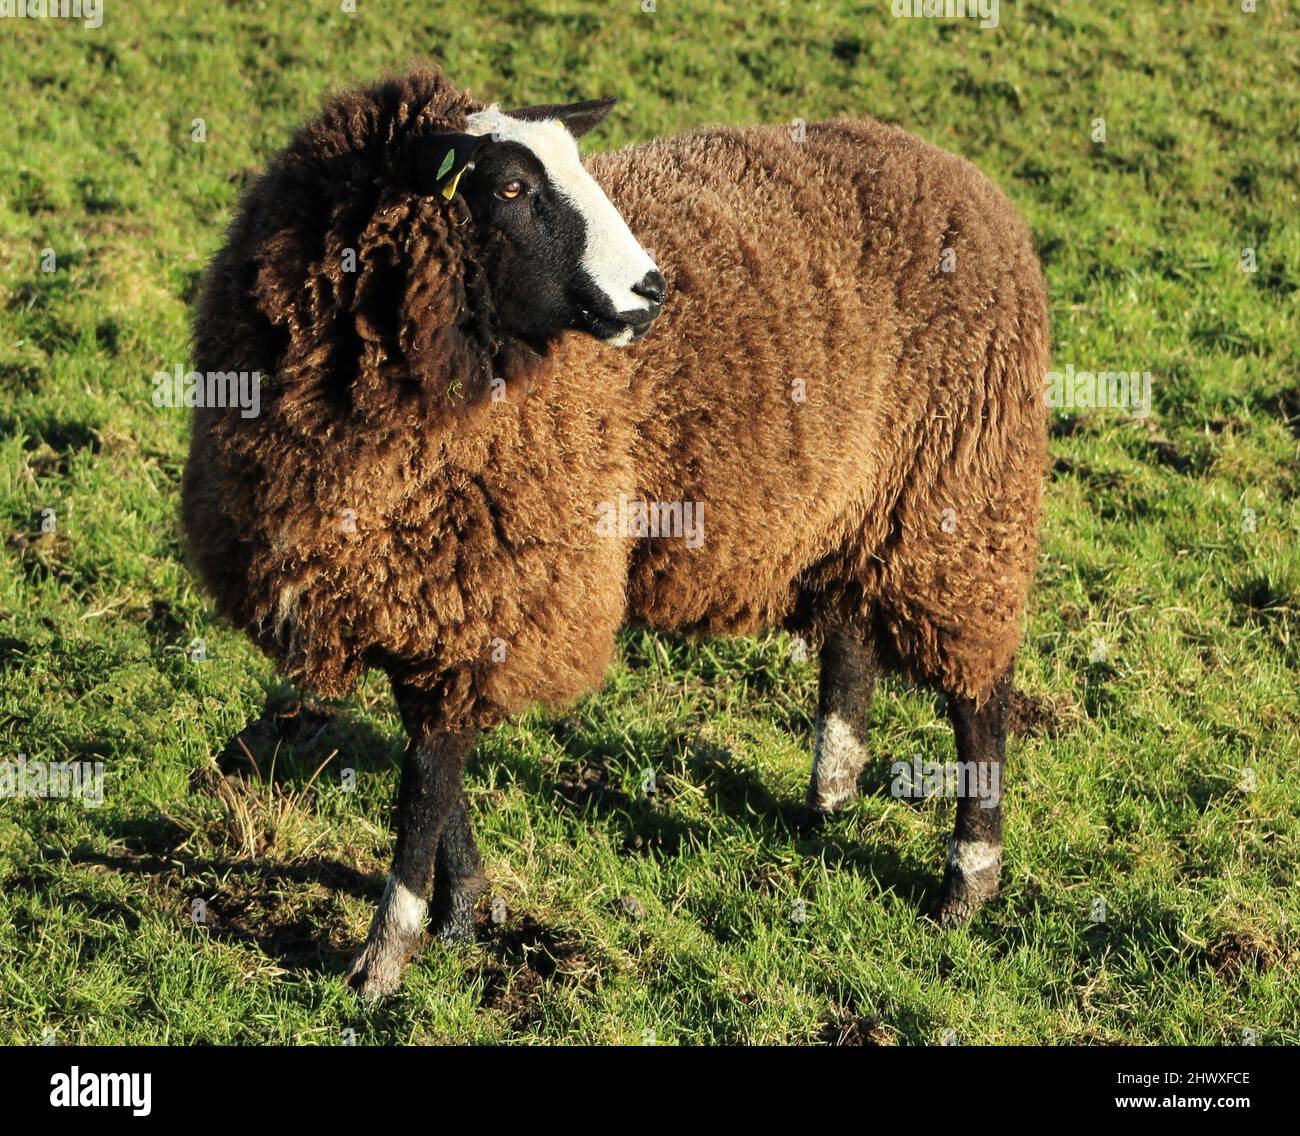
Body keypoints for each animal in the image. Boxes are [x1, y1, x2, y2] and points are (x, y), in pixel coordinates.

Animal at [182, 66, 1049, 998]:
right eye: (509, 187)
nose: (652, 291)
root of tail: (955, 170)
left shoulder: (488, 588)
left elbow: (424, 779)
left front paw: (386, 954)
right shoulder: (430, 595)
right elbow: (435, 764)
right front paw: (462, 912)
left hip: (957, 490)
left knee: (979, 692)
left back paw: (967, 880)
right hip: (855, 499)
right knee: (850, 639)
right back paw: (830, 799)